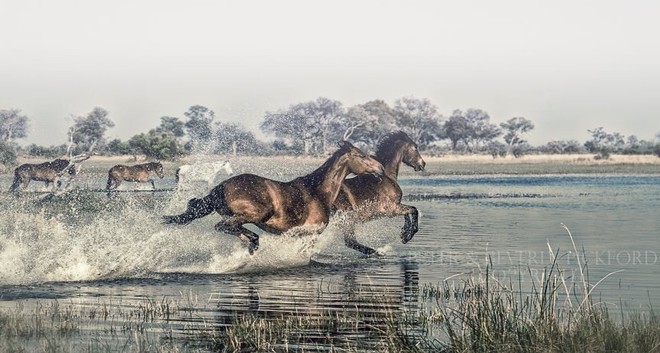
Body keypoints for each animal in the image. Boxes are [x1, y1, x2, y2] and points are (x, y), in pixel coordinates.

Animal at [162, 140, 384, 253]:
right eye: (362, 156)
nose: (380, 168)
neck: (318, 191)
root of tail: (221, 186)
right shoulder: (308, 234)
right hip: (257, 213)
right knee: (222, 227)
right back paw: (254, 242)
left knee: (231, 228)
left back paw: (250, 243)